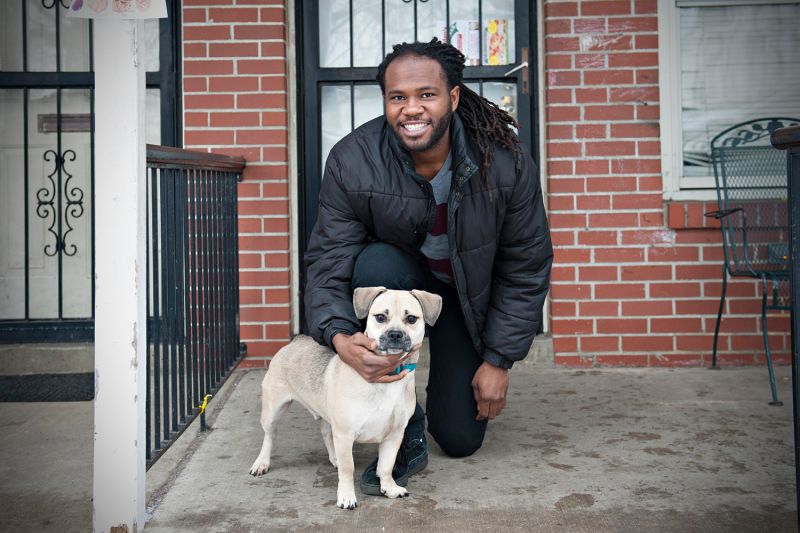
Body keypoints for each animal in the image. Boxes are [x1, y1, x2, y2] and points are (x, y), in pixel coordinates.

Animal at [247, 284, 440, 510]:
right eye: (380, 317)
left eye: (411, 319)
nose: (395, 334)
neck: (388, 380)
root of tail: (296, 340)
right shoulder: (346, 433)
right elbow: (348, 469)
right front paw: (346, 496)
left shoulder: (394, 434)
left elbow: (386, 466)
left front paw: (389, 487)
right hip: (272, 411)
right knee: (270, 436)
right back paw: (262, 463)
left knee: (325, 433)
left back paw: (334, 458)